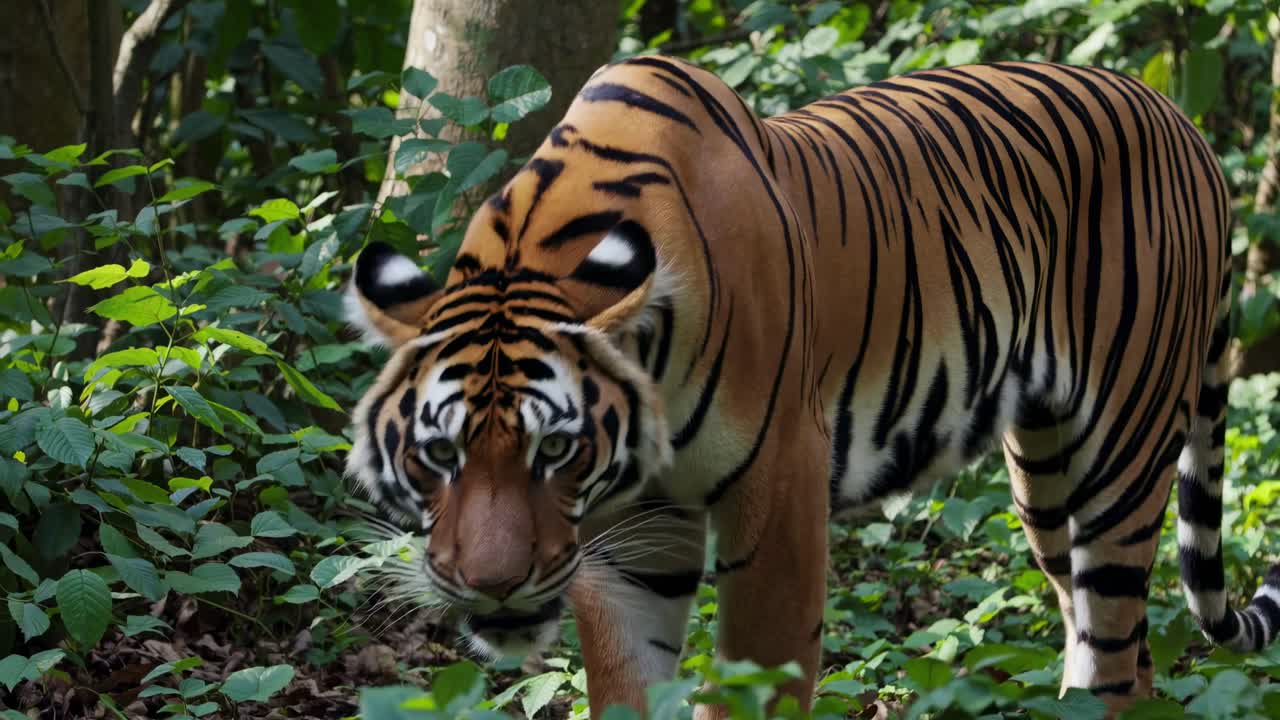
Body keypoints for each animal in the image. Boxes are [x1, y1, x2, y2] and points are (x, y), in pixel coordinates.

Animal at [344, 56, 1280, 716]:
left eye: (556, 449)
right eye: (439, 455)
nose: (494, 586)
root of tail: (1186, 127)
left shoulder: (779, 494)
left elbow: (754, 683)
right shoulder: (627, 538)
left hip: (1123, 453)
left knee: (1114, 659)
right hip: (1048, 484)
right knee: (1123, 648)